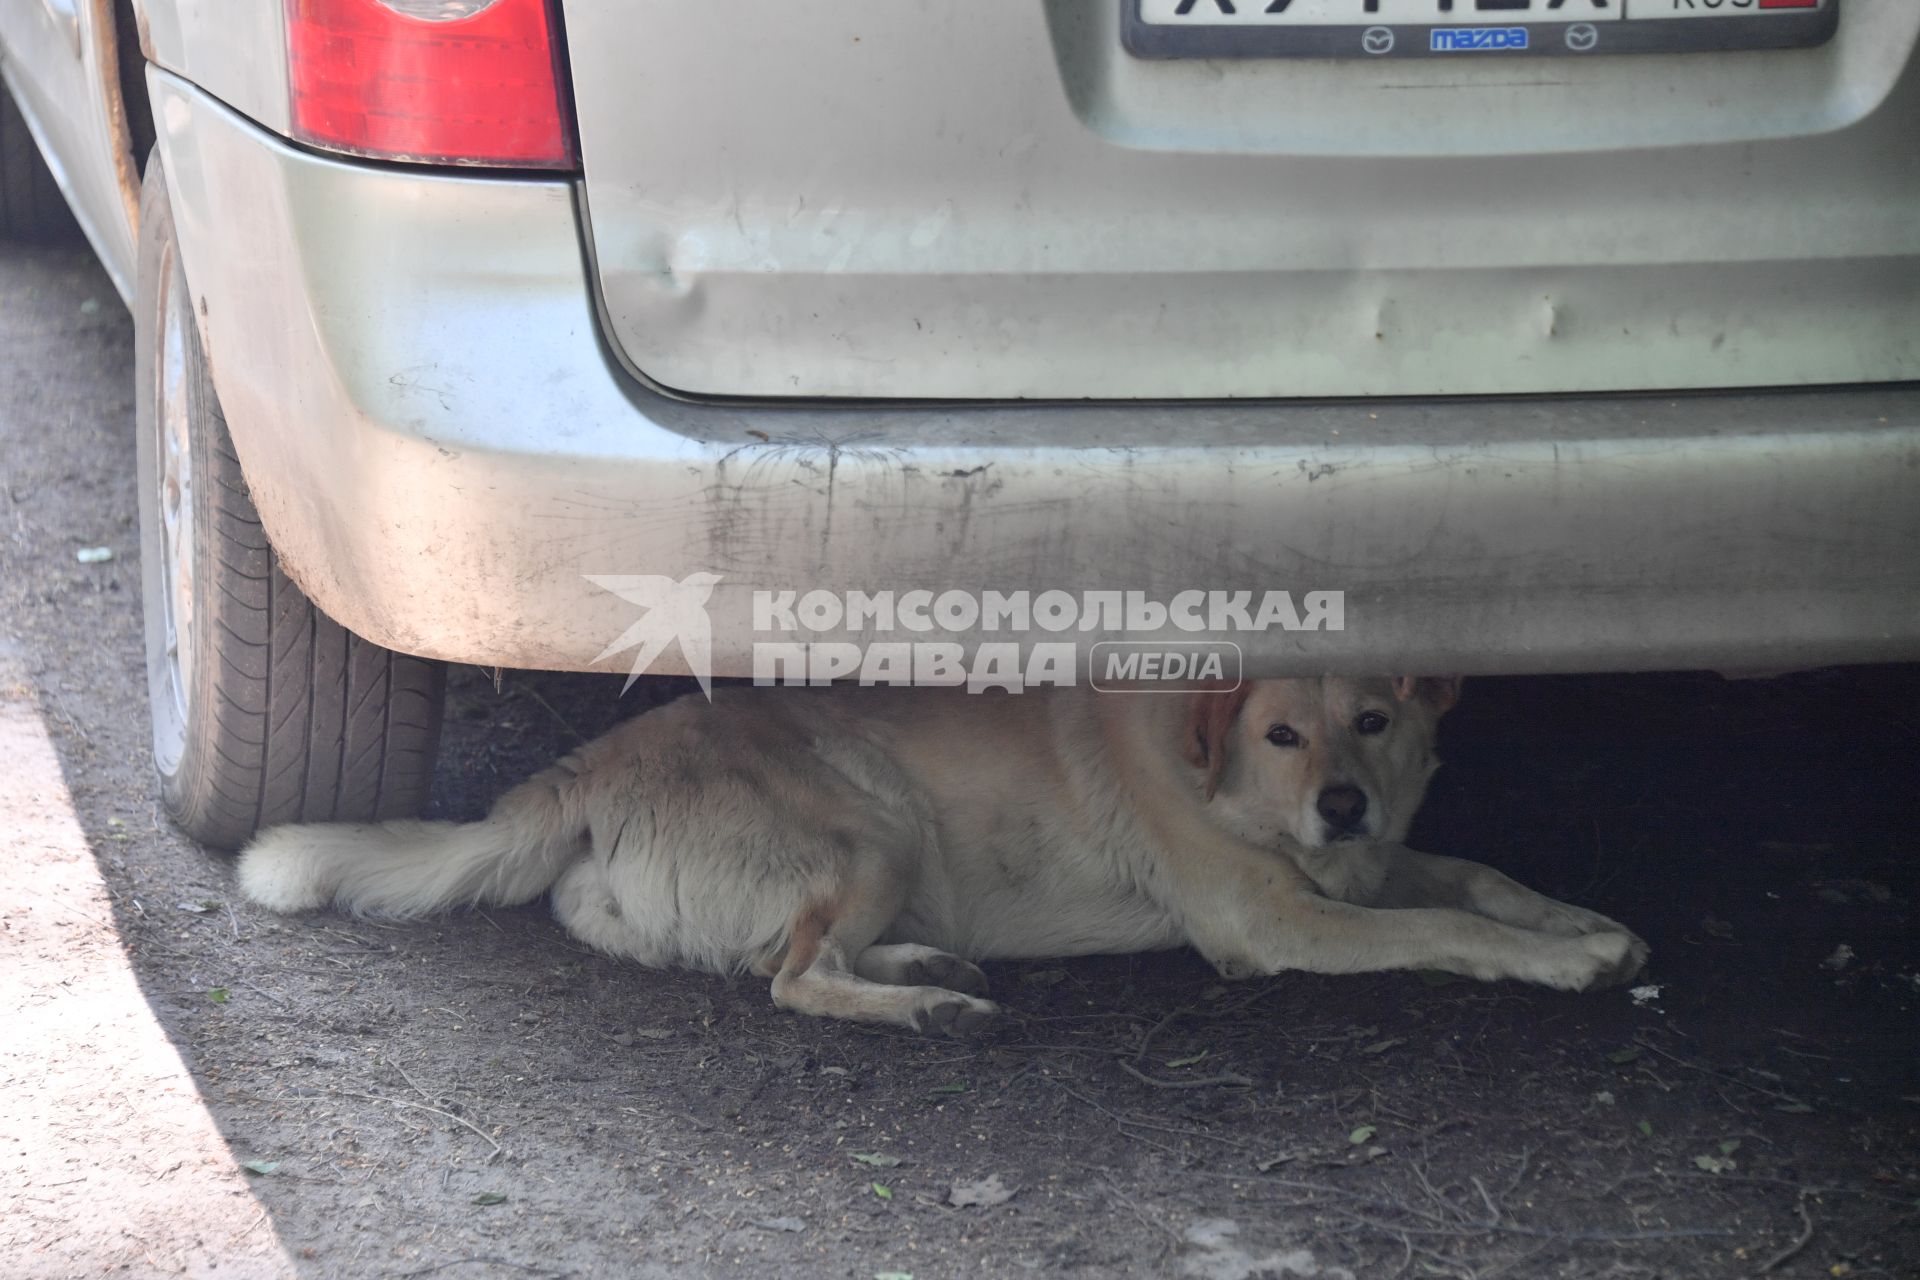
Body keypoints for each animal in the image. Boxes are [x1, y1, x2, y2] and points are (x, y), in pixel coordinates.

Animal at [240, 675, 1651, 1036]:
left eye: (1376, 719)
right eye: (1282, 732)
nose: (1348, 803)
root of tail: (590, 760)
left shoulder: (1365, 865)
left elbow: (1481, 879)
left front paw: (1587, 921)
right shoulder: (1281, 918)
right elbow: (1448, 925)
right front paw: (1560, 958)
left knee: (781, 955)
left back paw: (934, 965)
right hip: (872, 825)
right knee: (793, 975)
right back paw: (923, 1001)